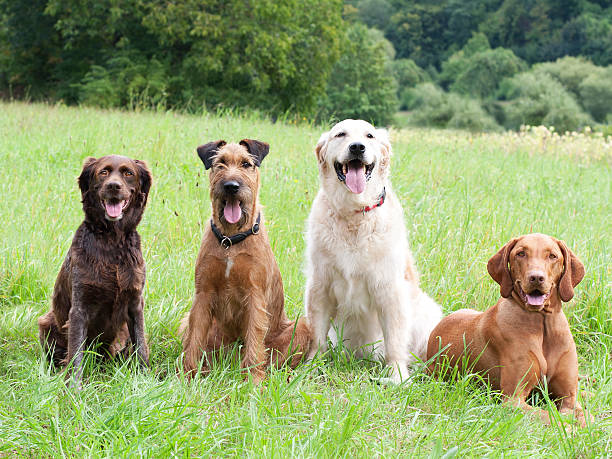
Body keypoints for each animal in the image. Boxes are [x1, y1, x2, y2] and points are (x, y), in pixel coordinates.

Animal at [38, 156, 152, 390]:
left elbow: (141, 346)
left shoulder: (135, 303)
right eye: (103, 172)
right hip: (46, 322)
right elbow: (75, 354)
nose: (114, 186)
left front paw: (145, 381)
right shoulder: (79, 308)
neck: (112, 243)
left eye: (128, 173)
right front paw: (73, 388)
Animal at [179, 138, 308, 382]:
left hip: (304, 328)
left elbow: (255, 341)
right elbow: (195, 339)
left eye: (246, 164)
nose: (231, 186)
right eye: (220, 163)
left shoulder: (255, 294)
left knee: (275, 359)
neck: (231, 240)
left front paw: (253, 381)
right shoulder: (203, 293)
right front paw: (187, 375)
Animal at [304, 119, 440, 384]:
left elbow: (395, 340)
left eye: (370, 136)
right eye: (340, 134)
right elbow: (316, 336)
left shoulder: (390, 288)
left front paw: (397, 375)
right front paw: (310, 368)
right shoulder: (320, 285)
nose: (357, 147)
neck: (354, 213)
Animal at [428, 235, 592, 430]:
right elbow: (550, 417)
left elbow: (585, 417)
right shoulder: (513, 400)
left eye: (552, 256)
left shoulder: (568, 397)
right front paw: (569, 428)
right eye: (521, 253)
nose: (536, 277)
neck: (542, 324)